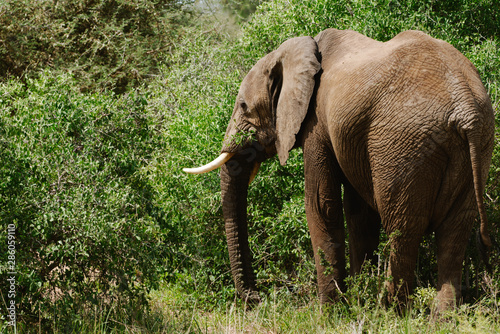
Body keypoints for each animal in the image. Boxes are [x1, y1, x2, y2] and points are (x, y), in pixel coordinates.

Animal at [182, 27, 494, 312]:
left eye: (244, 106)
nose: (256, 300)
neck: (299, 50)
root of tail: (465, 107)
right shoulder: (351, 134)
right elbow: (358, 214)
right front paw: (356, 300)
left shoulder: (316, 123)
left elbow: (322, 204)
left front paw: (330, 314)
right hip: (477, 144)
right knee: (454, 234)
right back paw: (440, 319)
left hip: (406, 145)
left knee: (402, 228)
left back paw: (390, 311)